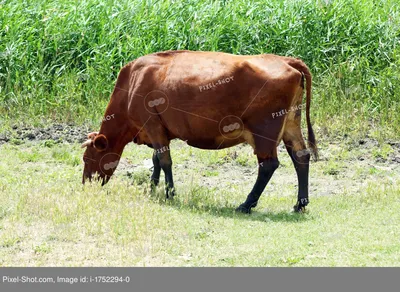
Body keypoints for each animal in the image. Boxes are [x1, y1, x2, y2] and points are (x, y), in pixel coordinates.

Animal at [81, 50, 318, 213]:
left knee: (268, 165)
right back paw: (300, 204)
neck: (133, 82)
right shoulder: (159, 131)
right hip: (291, 124)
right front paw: (152, 187)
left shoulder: (153, 124)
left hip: (264, 132)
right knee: (301, 157)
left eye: (87, 158)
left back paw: (246, 204)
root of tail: (285, 60)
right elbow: (156, 159)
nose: (85, 184)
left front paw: (169, 193)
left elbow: (164, 161)